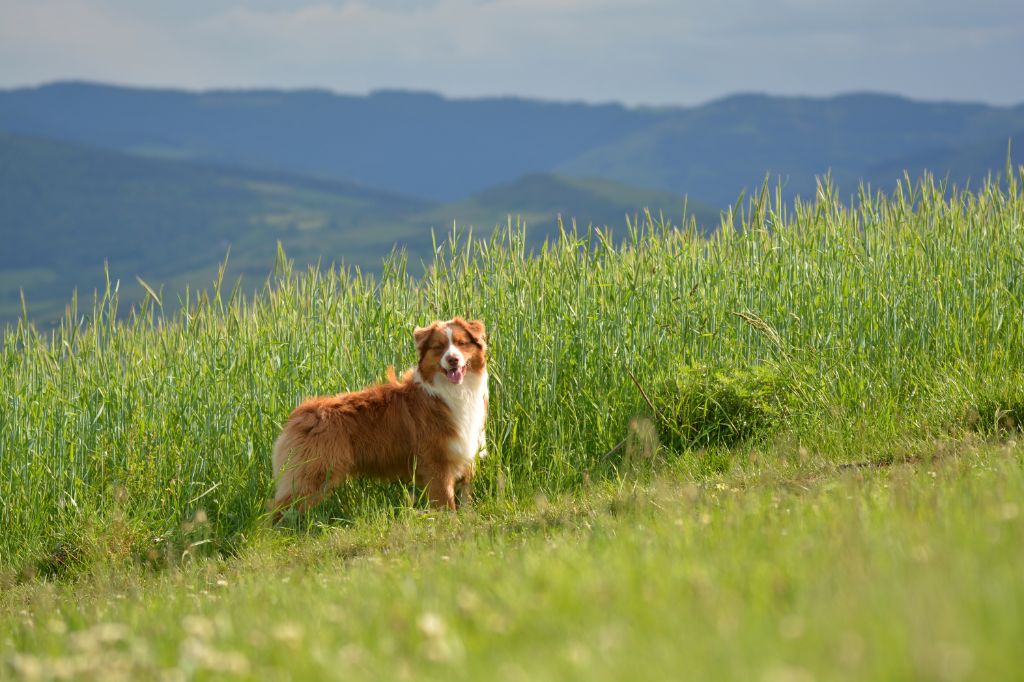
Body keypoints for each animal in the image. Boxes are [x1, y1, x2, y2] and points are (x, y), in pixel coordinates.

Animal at [272, 315, 487, 512]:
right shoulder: (436, 461)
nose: (453, 359)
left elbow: (465, 497)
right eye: (438, 347)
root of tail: (302, 412)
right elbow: (446, 502)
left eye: (461, 343)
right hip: (312, 474)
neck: (452, 391)